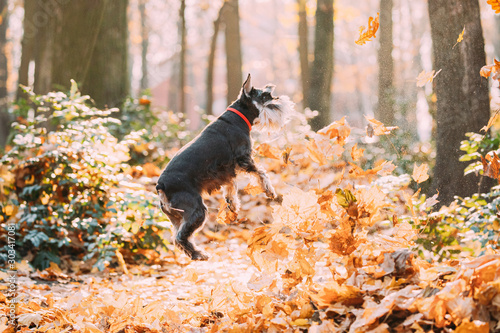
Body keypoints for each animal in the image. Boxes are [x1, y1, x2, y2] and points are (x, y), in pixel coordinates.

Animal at [156, 73, 292, 260]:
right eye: (265, 97)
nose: (281, 101)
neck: (238, 118)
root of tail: (161, 185)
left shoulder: (226, 170)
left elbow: (230, 186)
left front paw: (233, 204)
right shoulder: (244, 158)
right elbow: (261, 173)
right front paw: (269, 191)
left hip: (176, 216)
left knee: (177, 237)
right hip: (197, 210)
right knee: (181, 237)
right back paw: (199, 254)